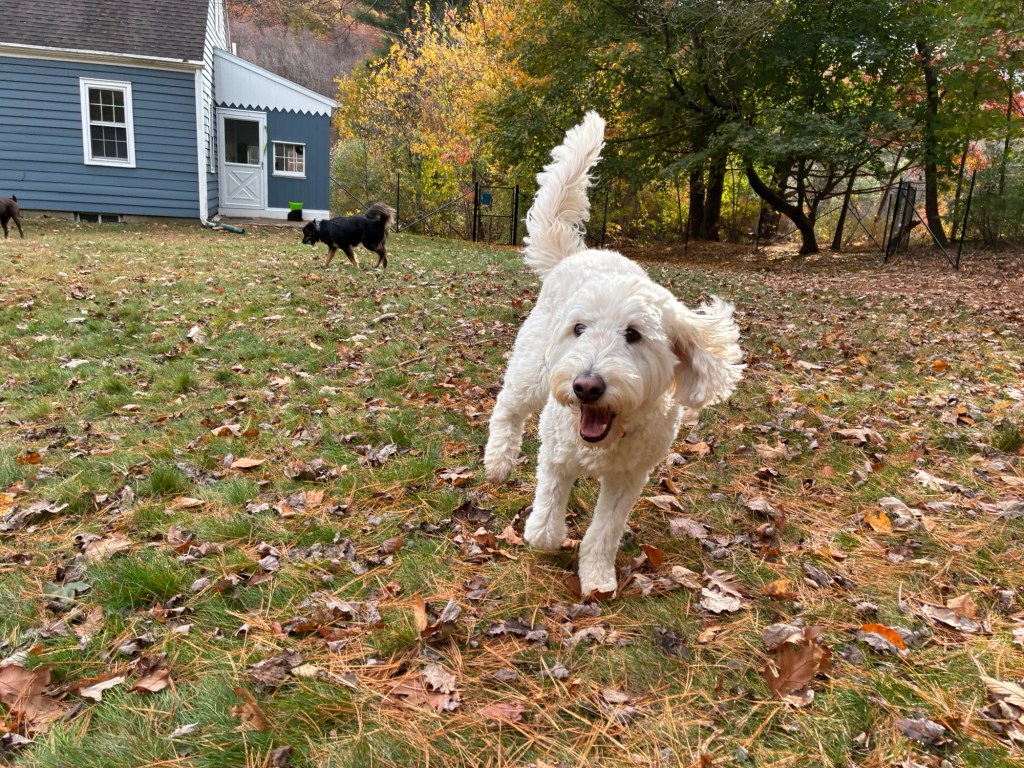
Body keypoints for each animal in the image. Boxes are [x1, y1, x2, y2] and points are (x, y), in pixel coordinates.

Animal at [484, 112, 744, 596]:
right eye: (579, 329)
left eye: (634, 335)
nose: (586, 386)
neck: (607, 436)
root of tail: (580, 255)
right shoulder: (556, 453)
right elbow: (547, 516)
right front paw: (543, 536)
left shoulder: (629, 479)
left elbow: (604, 531)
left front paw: (598, 576)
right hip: (533, 370)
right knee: (507, 410)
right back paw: (498, 461)